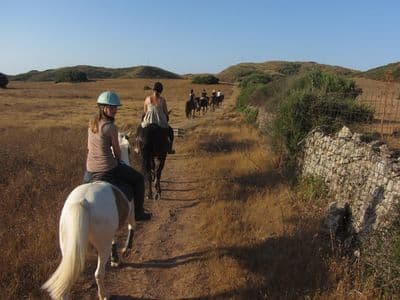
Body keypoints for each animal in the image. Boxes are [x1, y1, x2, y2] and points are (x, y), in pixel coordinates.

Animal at [42, 134, 136, 300]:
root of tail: (82, 201)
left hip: (68, 245)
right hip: (101, 245)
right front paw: (125, 250)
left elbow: (115, 240)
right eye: (129, 148)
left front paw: (115, 259)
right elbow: (131, 227)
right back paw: (104, 294)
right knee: (98, 273)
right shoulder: (131, 211)